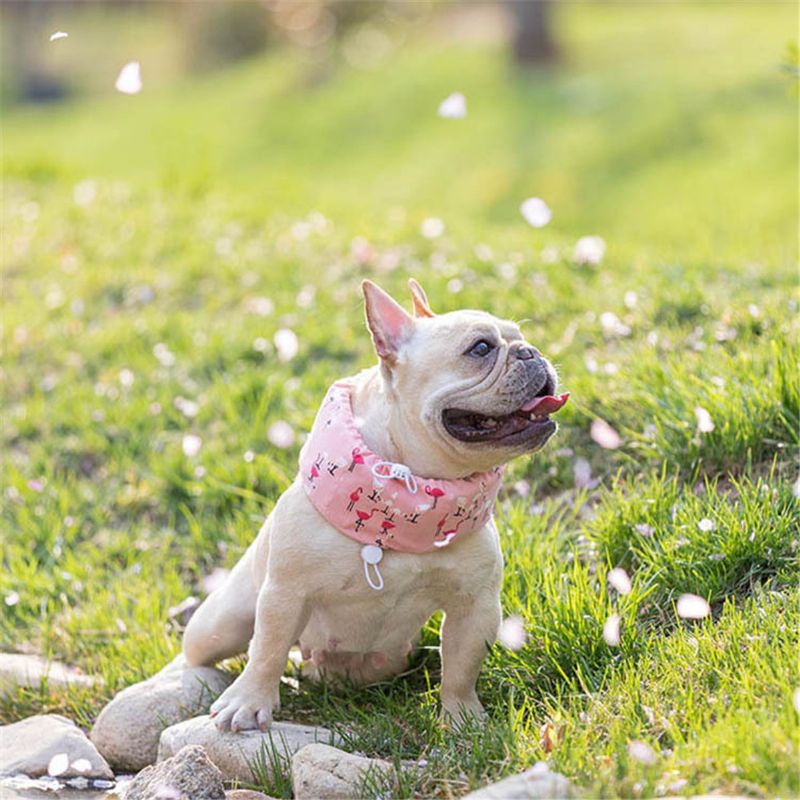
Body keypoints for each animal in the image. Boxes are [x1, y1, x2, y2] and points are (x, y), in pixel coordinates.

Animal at [186, 280, 564, 732]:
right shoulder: (284, 594)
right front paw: (249, 702)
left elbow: (461, 664)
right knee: (208, 647)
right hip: (220, 623)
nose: (531, 352)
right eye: (480, 348)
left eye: (521, 337)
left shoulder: (475, 604)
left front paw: (462, 718)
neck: (406, 500)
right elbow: (268, 649)